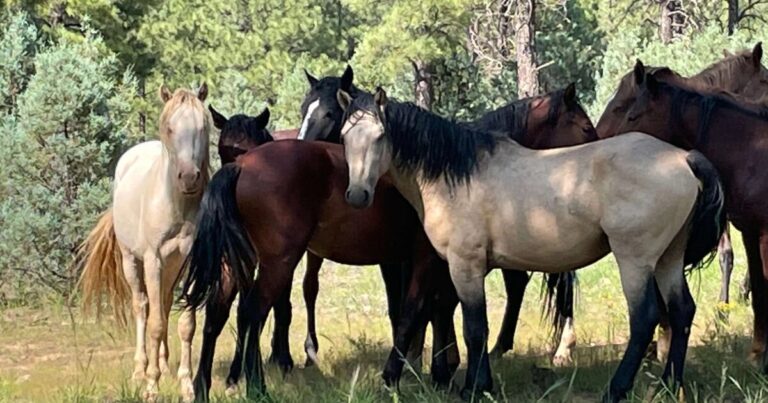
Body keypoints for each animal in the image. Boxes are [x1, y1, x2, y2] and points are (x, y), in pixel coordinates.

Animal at [77, 84, 211, 402]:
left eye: (203, 127)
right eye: (170, 128)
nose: (189, 177)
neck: (177, 206)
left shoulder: (191, 264)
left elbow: (186, 325)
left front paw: (186, 385)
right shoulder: (153, 260)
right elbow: (155, 324)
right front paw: (151, 385)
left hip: (171, 269)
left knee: (163, 302)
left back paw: (161, 363)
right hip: (132, 262)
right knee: (142, 307)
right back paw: (141, 370)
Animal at [298, 65, 596, 366]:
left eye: (329, 113)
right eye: (304, 109)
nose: (302, 147)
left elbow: (424, 306)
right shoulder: (406, 259)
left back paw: (558, 347)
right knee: (520, 284)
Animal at [337, 87, 725, 401]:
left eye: (380, 136)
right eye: (344, 136)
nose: (357, 195)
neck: (457, 174)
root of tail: (683, 157)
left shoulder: (464, 265)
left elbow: (471, 327)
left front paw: (470, 388)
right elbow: (459, 321)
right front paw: (478, 383)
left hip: (635, 260)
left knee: (643, 319)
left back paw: (616, 390)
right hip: (669, 257)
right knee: (682, 311)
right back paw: (668, 386)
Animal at [596, 60, 768, 373]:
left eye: (629, 112)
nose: (601, 143)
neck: (753, 151)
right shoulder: (751, 231)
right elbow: (760, 291)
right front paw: (757, 355)